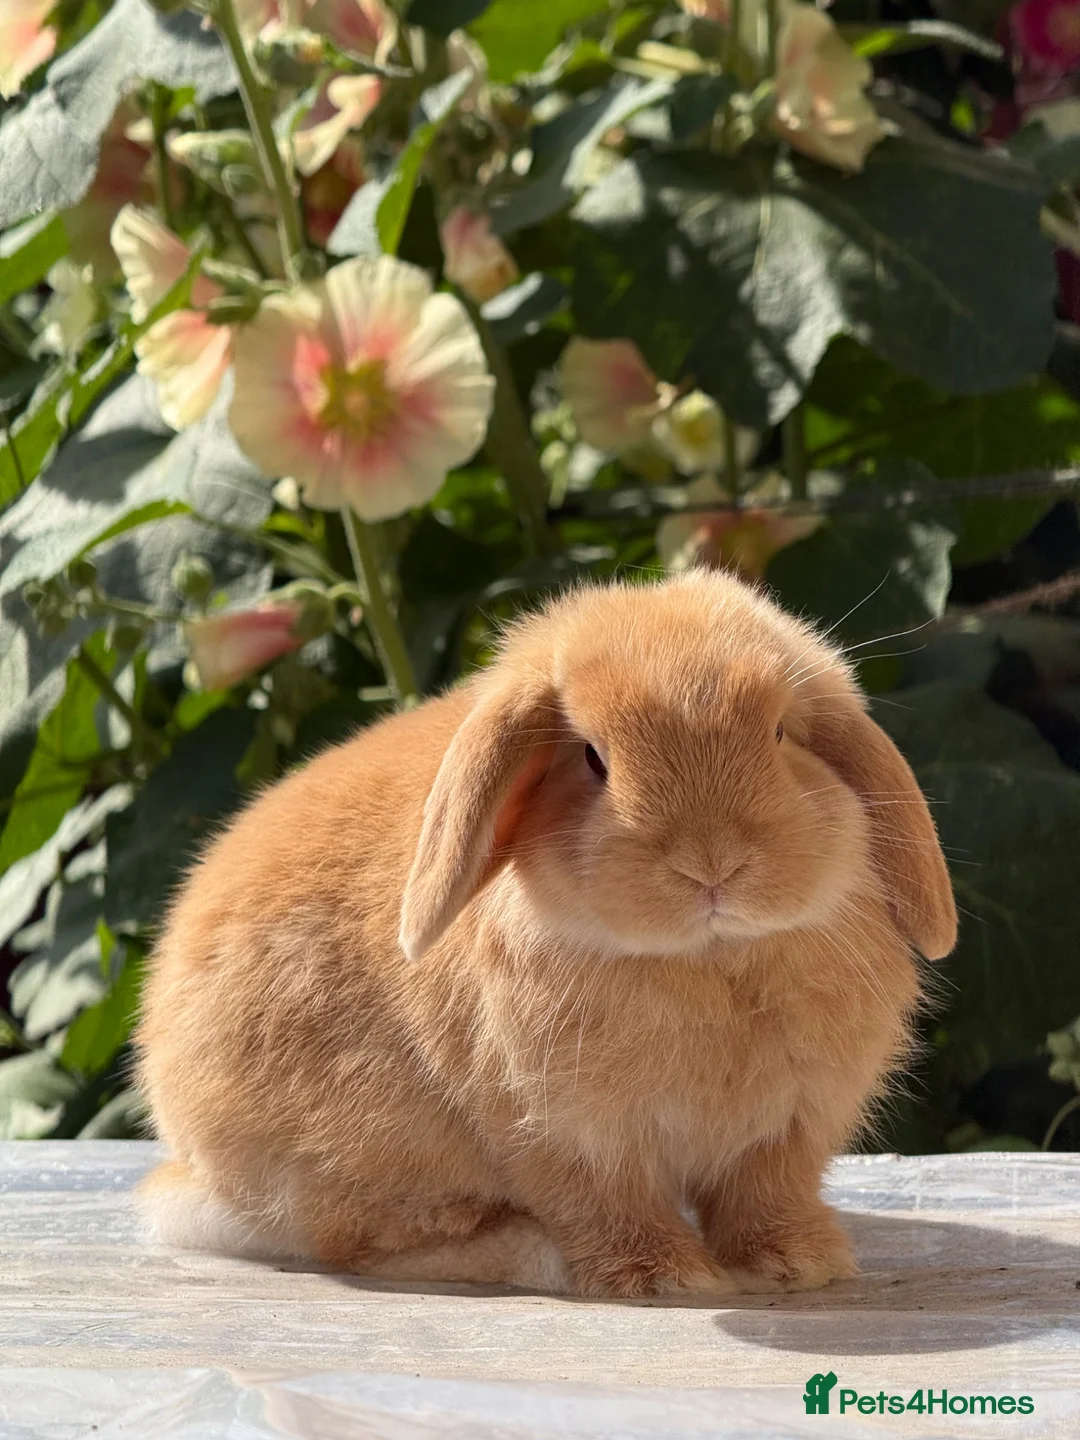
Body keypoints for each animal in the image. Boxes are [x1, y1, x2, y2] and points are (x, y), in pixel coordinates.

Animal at [135, 569, 956, 1299]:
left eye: (781, 732)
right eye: (593, 758)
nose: (712, 863)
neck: (707, 957)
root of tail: (189, 1169)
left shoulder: (788, 1129)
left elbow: (768, 1197)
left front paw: (797, 1265)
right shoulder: (564, 1137)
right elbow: (603, 1205)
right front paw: (662, 1278)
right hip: (356, 1160)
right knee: (367, 1242)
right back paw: (538, 1257)